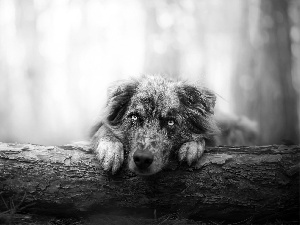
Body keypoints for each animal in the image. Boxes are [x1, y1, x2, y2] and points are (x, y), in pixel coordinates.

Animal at [90, 75, 219, 176]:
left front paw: (192, 146)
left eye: (170, 122)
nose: (142, 159)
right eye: (134, 117)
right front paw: (111, 150)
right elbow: (103, 129)